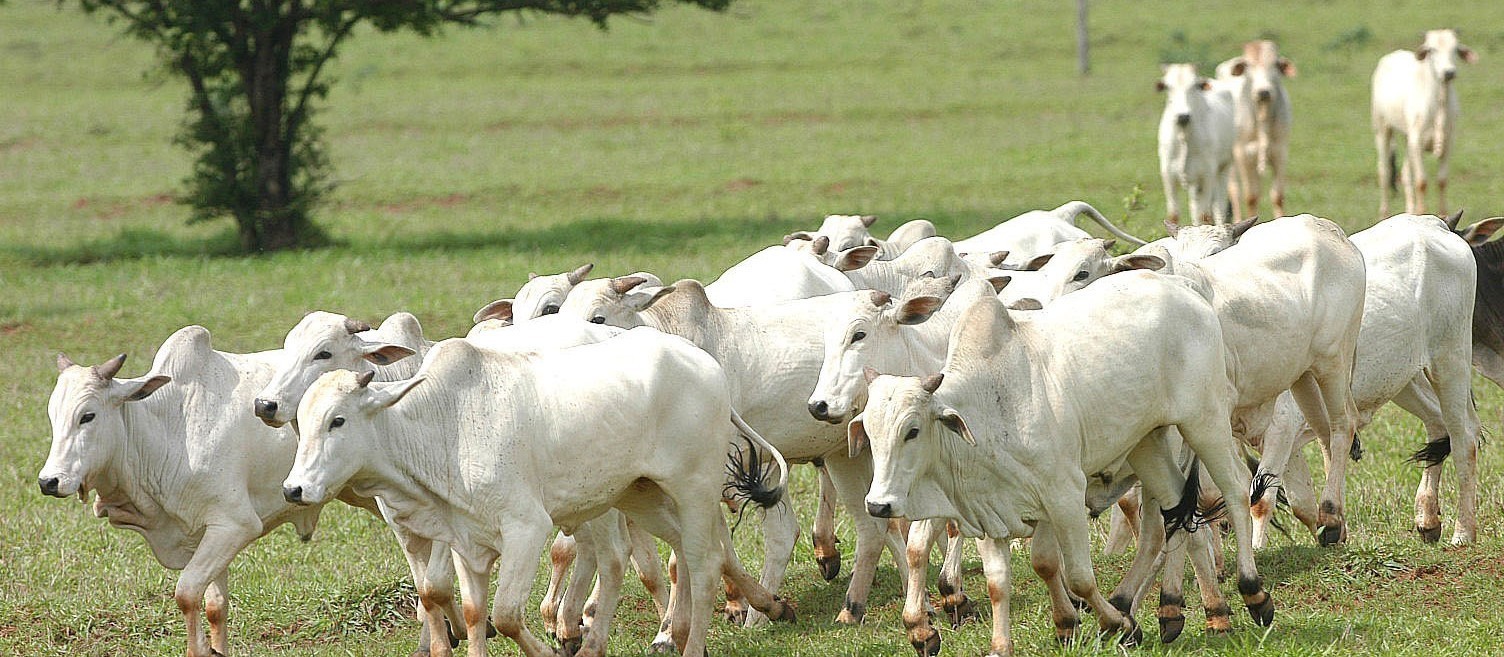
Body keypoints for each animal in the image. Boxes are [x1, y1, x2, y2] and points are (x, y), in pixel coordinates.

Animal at [39, 330, 374, 655]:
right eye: (53, 416)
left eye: (87, 416)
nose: (49, 481)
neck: (168, 429)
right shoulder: (206, 533)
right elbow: (215, 606)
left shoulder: (234, 525)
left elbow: (187, 593)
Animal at [284, 330, 800, 655]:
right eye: (302, 425)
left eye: (337, 420)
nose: (294, 488)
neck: (444, 426)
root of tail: (704, 363)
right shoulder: (464, 542)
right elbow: (473, 612)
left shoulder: (526, 529)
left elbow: (508, 614)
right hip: (639, 494)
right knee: (677, 554)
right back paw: (758, 608)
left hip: (693, 488)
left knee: (702, 561)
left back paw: (690, 642)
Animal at [1215, 40, 1299, 219]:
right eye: (1248, 66)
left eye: (1275, 64)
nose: (1263, 92)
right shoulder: (1243, 155)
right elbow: (1251, 196)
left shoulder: (1280, 152)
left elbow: (1277, 195)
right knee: (1235, 190)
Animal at [1377, 28, 1479, 214]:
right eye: (1432, 50)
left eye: (1455, 49)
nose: (1448, 72)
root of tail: (1394, 54)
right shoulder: (1417, 142)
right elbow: (1422, 181)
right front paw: (1421, 212)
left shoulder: (1448, 142)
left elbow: (1442, 180)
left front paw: (1442, 214)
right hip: (1382, 127)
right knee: (1384, 170)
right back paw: (1385, 212)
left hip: (1407, 138)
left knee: (1405, 172)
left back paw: (1409, 210)